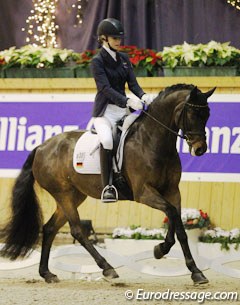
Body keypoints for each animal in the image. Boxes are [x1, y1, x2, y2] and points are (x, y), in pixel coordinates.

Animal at [0, 83, 216, 282]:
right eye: (193, 113)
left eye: (207, 114)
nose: (200, 149)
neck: (153, 141)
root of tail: (42, 147)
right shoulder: (143, 192)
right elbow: (171, 213)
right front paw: (162, 250)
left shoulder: (172, 191)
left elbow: (178, 225)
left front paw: (193, 270)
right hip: (63, 194)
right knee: (77, 230)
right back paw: (107, 268)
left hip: (74, 195)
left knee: (50, 228)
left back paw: (47, 273)